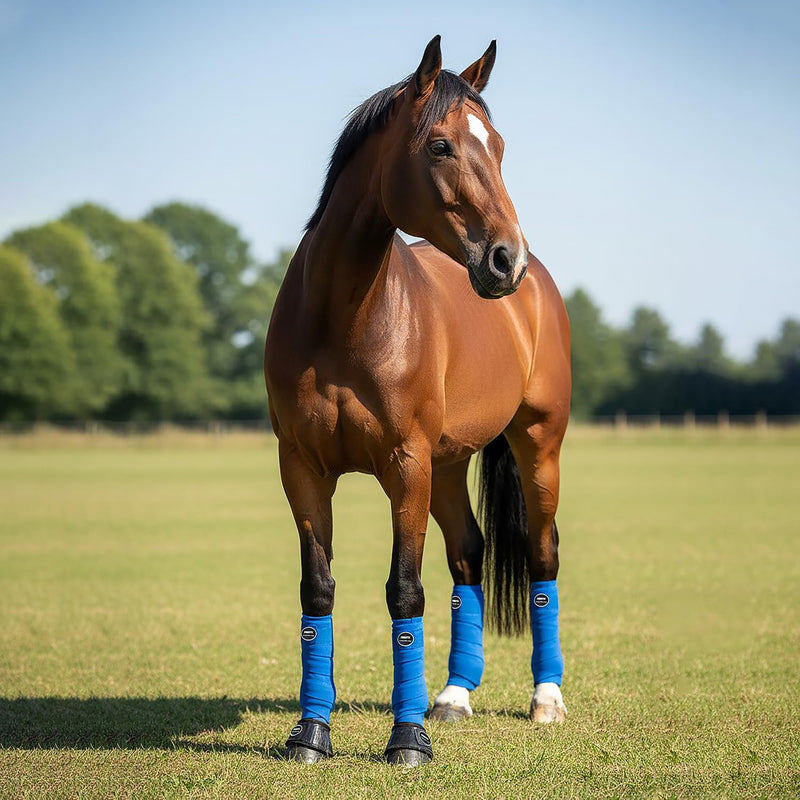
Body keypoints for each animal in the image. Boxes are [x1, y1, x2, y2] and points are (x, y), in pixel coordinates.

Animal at [264, 35, 571, 766]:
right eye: (440, 146)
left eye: (500, 146)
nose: (505, 261)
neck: (343, 319)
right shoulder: (302, 469)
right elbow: (318, 591)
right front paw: (310, 734)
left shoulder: (405, 466)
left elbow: (405, 592)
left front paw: (407, 740)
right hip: (450, 465)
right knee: (469, 555)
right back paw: (454, 695)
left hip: (537, 446)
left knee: (542, 555)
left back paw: (545, 699)